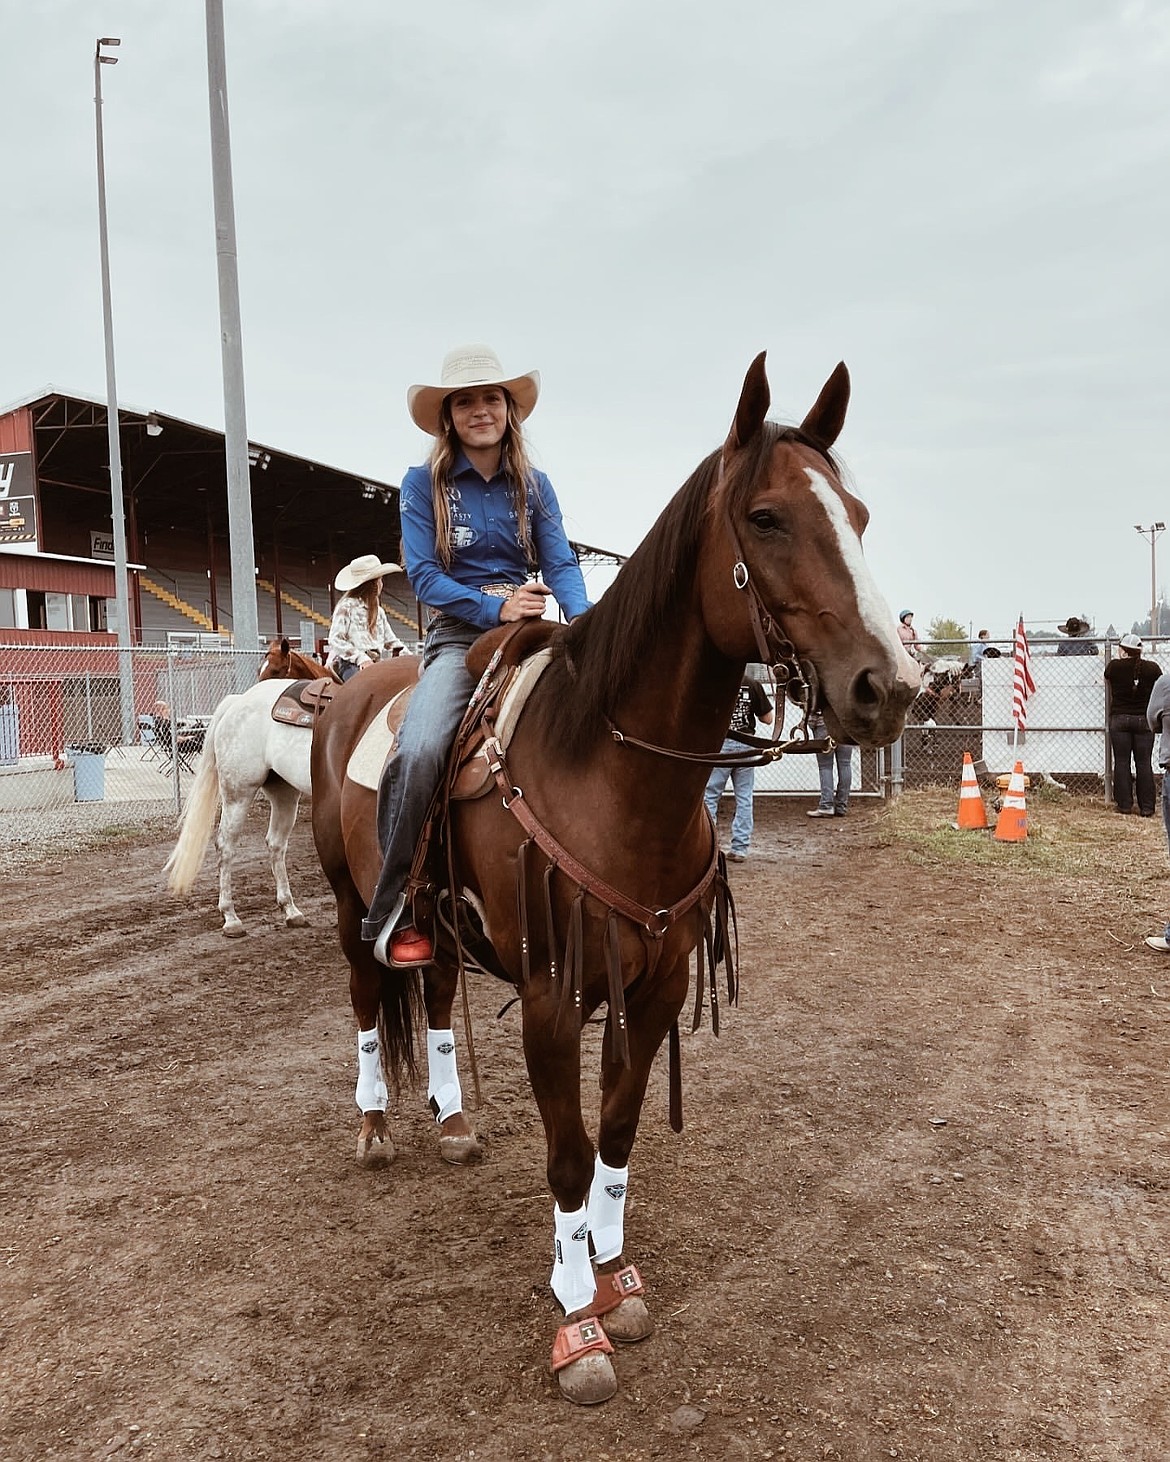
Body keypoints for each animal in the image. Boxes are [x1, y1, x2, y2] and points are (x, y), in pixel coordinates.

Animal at [162, 634, 333, 929]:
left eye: (276, 671)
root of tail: (237, 703)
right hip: (237, 793)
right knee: (225, 845)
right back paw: (230, 917)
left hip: (284, 794)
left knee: (275, 843)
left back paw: (290, 910)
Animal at [310, 353, 924, 1403]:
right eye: (766, 517)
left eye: (861, 514)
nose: (887, 687)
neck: (607, 772)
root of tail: (349, 688)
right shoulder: (555, 1000)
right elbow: (566, 1155)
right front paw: (576, 1320)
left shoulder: (657, 983)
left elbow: (619, 1132)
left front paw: (616, 1273)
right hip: (355, 904)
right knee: (366, 994)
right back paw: (377, 1126)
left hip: (442, 925)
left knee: (434, 992)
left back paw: (453, 1119)